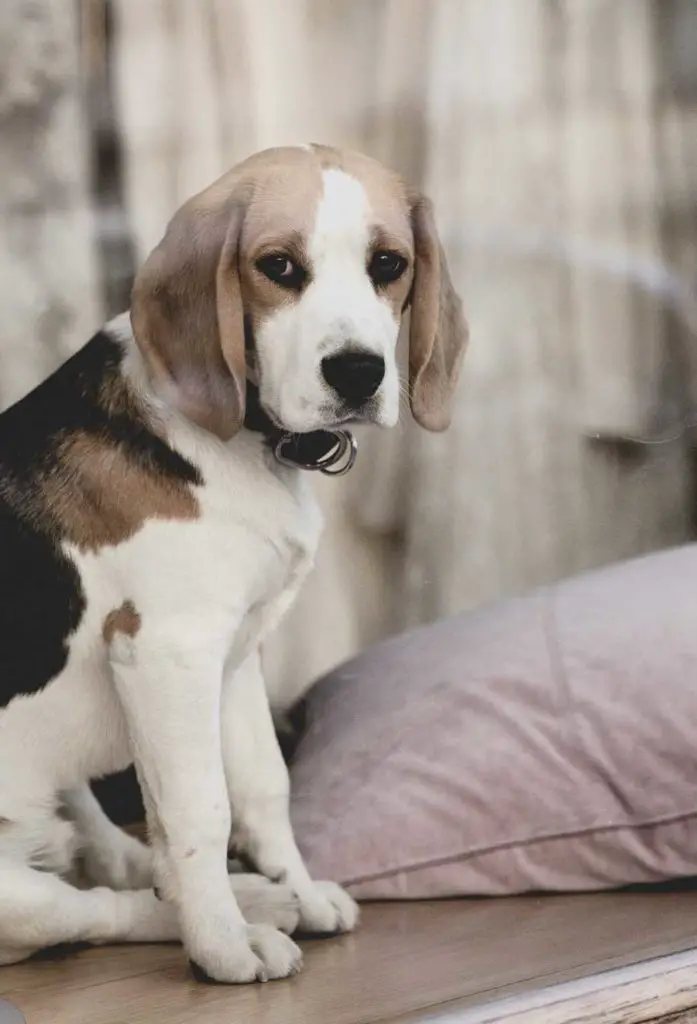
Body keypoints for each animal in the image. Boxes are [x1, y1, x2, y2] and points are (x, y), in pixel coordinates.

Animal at [0, 144, 466, 983]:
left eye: (388, 263)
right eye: (276, 266)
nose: (357, 372)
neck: (248, 439)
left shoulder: (238, 652)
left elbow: (261, 789)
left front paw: (298, 892)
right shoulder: (168, 652)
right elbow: (200, 809)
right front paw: (222, 945)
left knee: (110, 859)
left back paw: (256, 897)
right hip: (13, 896)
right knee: (94, 911)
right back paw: (228, 920)